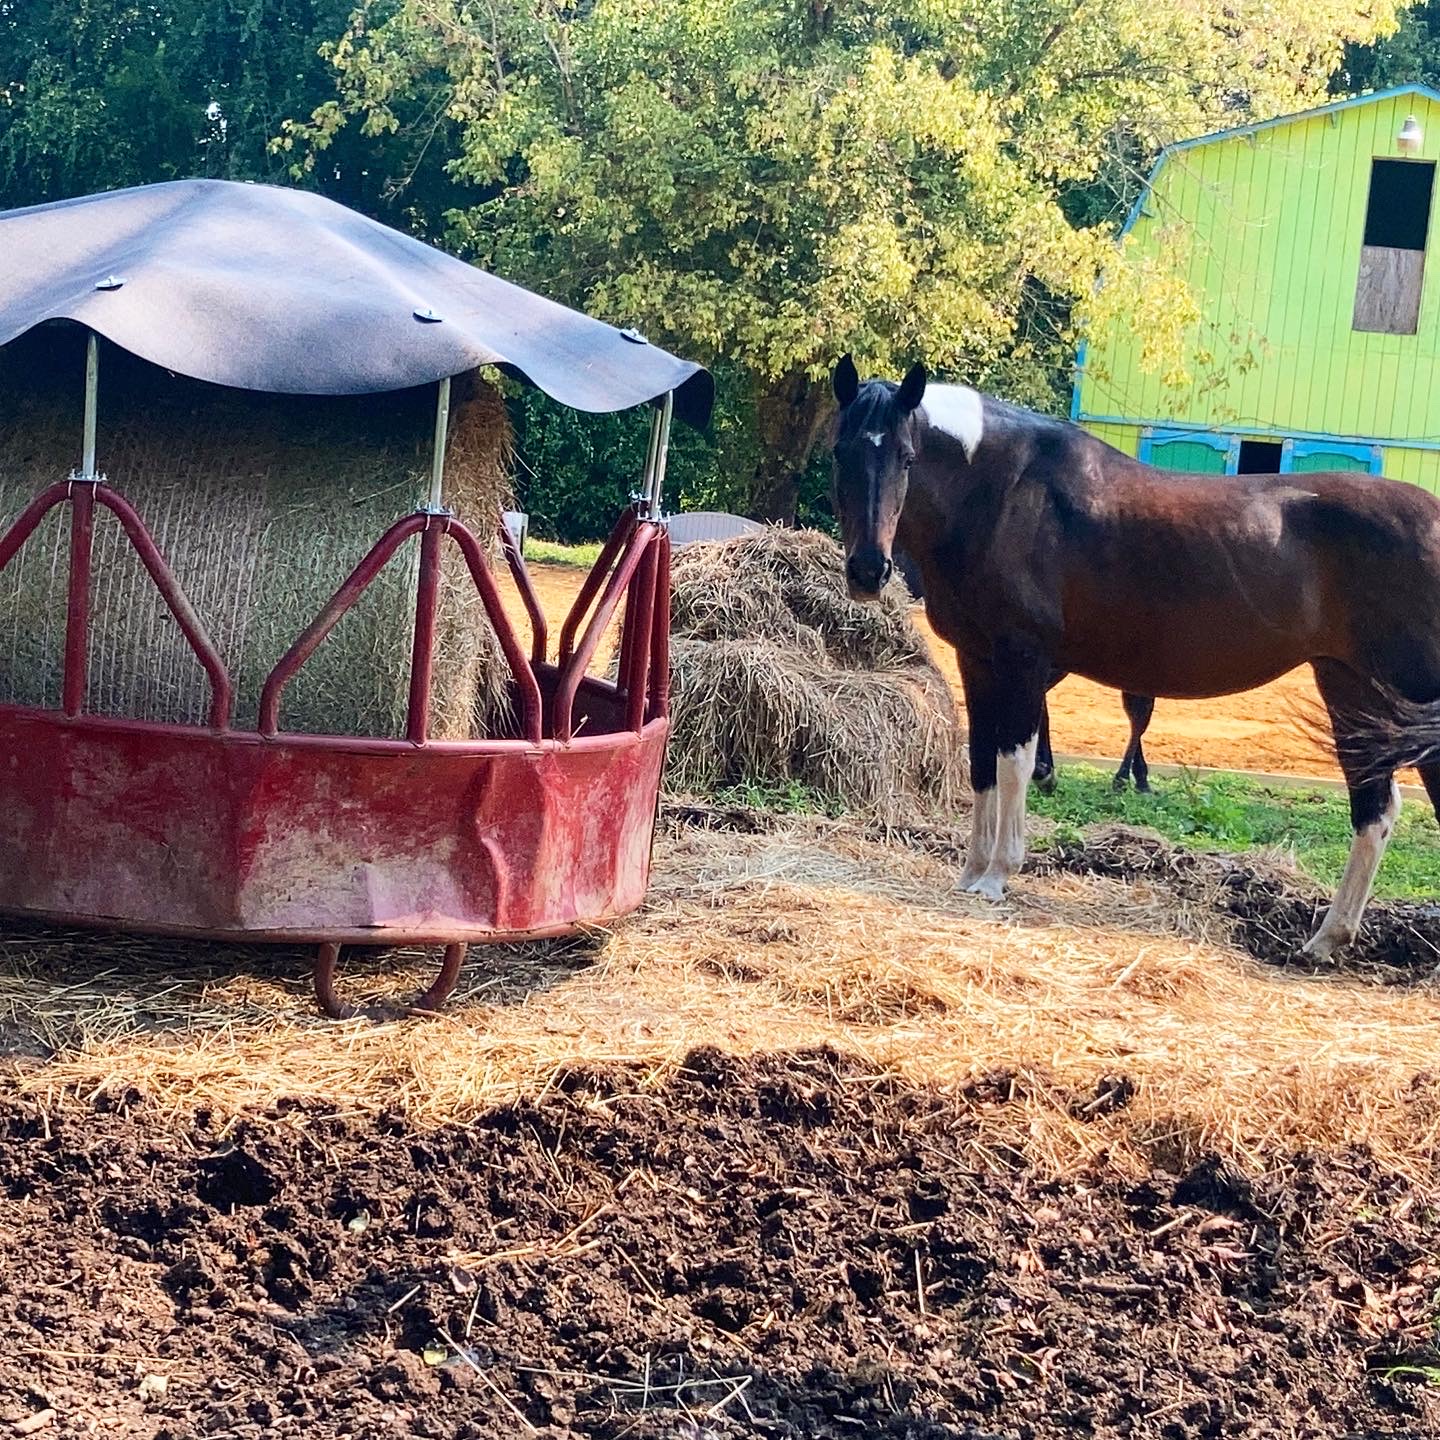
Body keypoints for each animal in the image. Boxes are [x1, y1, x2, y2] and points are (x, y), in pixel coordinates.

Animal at [829, 354, 1440, 961]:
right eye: (841, 452)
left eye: (907, 457)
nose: (868, 571)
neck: (1000, 492)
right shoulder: (977, 661)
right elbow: (981, 762)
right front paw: (972, 872)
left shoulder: (1022, 661)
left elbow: (1014, 762)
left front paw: (999, 875)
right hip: (1352, 688)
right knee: (1375, 809)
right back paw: (1326, 939)